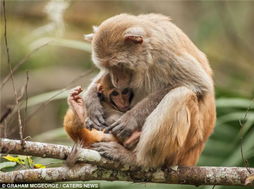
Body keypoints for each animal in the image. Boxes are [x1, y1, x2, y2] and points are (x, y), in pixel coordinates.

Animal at [83, 13, 216, 167]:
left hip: (183, 149)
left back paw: (137, 160)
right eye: (108, 68)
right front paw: (91, 102)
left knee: (180, 95)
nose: (116, 80)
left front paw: (131, 118)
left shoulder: (165, 55)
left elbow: (199, 84)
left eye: (118, 65)